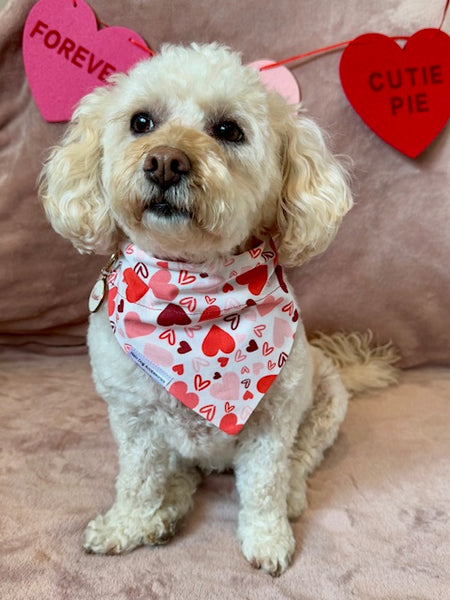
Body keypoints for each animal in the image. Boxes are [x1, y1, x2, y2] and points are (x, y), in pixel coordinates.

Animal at [40, 43, 396, 576]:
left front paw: (268, 539)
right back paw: (166, 512)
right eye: (141, 121)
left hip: (325, 404)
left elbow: (264, 486)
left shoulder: (272, 422)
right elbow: (138, 479)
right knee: (181, 474)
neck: (195, 292)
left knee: (299, 461)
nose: (165, 162)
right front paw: (127, 524)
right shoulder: (135, 421)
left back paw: (289, 495)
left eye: (229, 130)